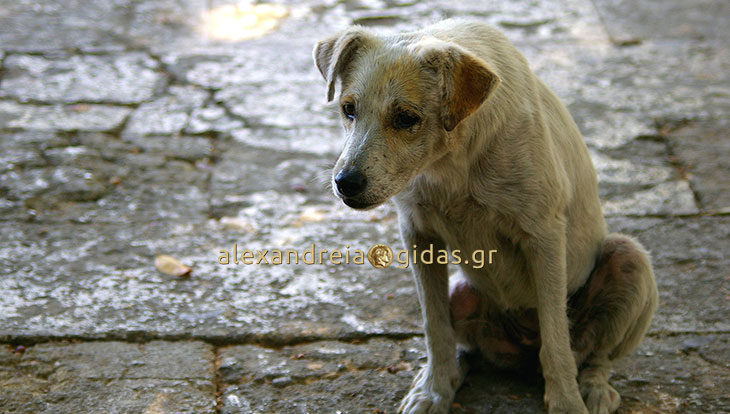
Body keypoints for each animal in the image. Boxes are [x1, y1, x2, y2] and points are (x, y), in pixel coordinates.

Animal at [312, 17, 656, 412]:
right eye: (348, 109)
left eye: (406, 118)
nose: (345, 183)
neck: (452, 161)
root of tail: (521, 353)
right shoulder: (418, 234)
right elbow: (435, 327)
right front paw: (434, 390)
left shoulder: (544, 238)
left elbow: (557, 340)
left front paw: (566, 402)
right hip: (463, 292)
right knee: (465, 342)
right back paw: (453, 373)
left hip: (629, 258)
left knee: (594, 356)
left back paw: (594, 388)